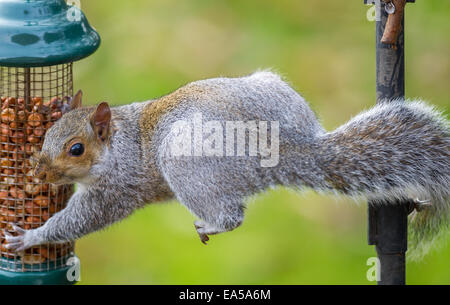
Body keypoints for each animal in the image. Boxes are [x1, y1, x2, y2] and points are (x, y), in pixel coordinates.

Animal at [3, 71, 450, 258]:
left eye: (76, 149)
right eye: (46, 136)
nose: (39, 173)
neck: (118, 143)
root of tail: (284, 146)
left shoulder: (117, 188)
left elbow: (84, 217)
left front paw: (30, 237)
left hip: (187, 163)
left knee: (233, 215)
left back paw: (212, 224)